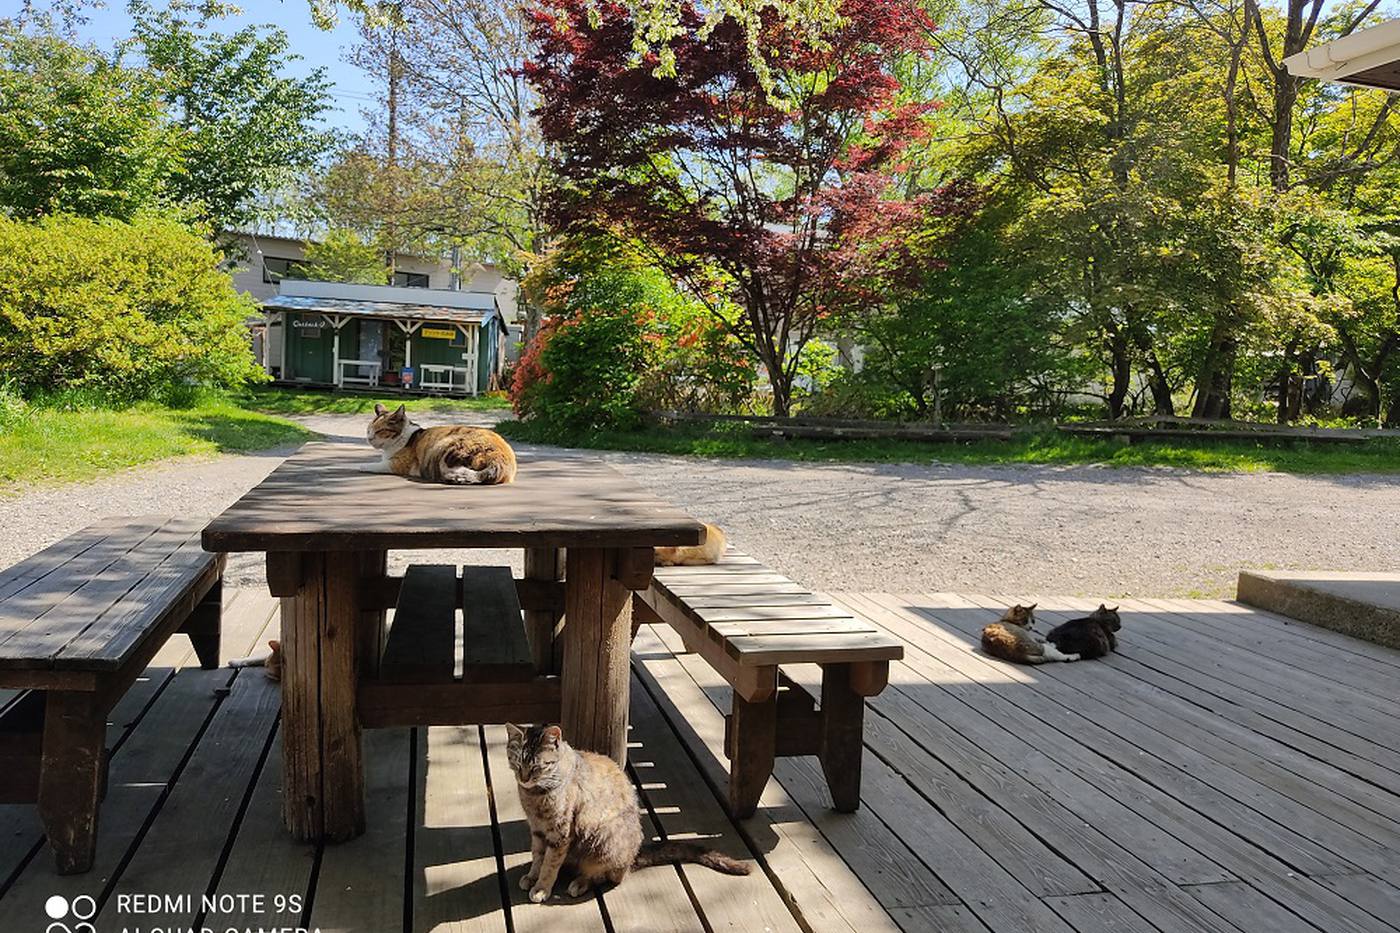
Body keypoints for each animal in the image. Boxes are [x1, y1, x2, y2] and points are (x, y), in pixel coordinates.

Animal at [501, 717, 744, 902]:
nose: (523, 778)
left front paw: (542, 887)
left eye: (536, 767)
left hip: (602, 841)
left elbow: (550, 864)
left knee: (605, 875)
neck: (535, 795)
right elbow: (538, 856)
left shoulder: (560, 833)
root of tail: (633, 857)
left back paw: (580, 883)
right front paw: (532, 876)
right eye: (517, 763)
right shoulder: (537, 829)